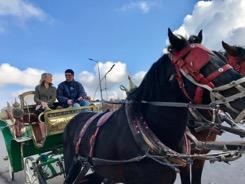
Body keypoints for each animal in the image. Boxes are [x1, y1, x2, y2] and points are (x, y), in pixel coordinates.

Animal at [63, 29, 245, 183]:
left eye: (223, 60)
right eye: (197, 65)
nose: (243, 99)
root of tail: (77, 116)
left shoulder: (193, 160)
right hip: (72, 163)